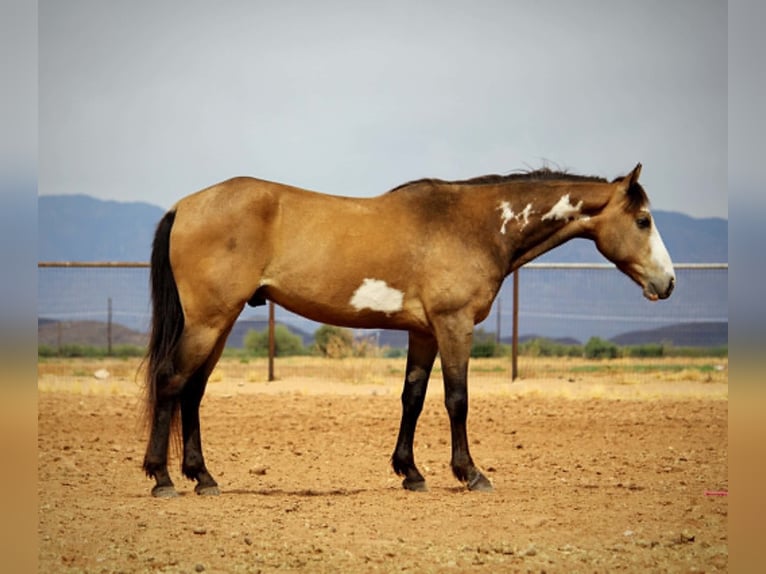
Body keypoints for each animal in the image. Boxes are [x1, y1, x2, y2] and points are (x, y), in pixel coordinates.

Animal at [142, 163, 675, 497]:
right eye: (643, 220)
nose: (667, 282)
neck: (474, 225)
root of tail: (185, 206)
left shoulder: (424, 333)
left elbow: (412, 398)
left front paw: (411, 473)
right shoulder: (454, 325)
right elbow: (457, 399)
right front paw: (471, 474)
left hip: (220, 323)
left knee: (193, 391)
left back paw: (203, 477)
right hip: (209, 321)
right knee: (171, 381)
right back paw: (162, 479)